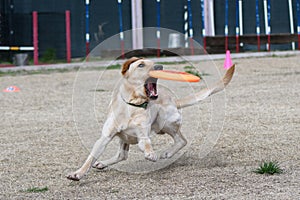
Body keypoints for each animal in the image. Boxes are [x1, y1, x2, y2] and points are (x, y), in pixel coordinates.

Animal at [67, 57, 234, 180]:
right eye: (141, 64)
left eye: (154, 63)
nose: (160, 66)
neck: (133, 105)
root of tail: (174, 100)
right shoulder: (105, 137)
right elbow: (90, 158)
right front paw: (77, 173)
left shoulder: (143, 135)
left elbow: (147, 145)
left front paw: (151, 154)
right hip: (125, 138)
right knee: (122, 155)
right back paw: (102, 164)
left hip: (164, 123)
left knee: (181, 139)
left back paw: (168, 153)